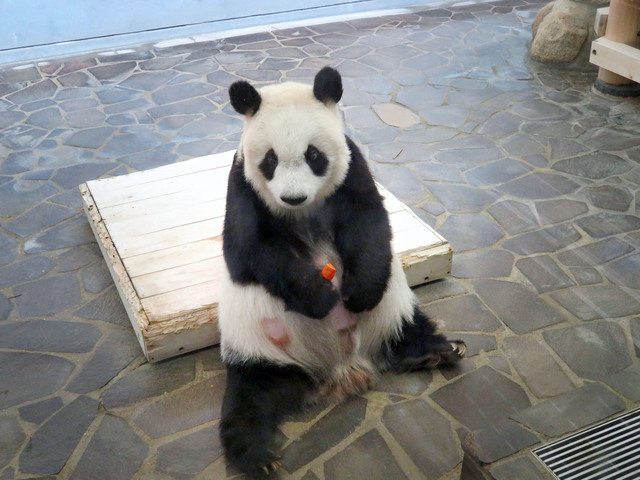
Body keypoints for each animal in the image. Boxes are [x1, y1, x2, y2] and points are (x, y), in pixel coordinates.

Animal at [219, 66, 464, 476]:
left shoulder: (352, 169)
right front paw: (320, 298)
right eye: (269, 159)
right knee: (251, 397)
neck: (303, 211)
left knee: (408, 329)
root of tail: (343, 371)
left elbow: (368, 220)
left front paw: (356, 294)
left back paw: (436, 352)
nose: (293, 197)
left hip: (391, 311)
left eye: (313, 155)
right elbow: (250, 246)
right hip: (259, 347)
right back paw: (257, 456)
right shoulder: (243, 185)